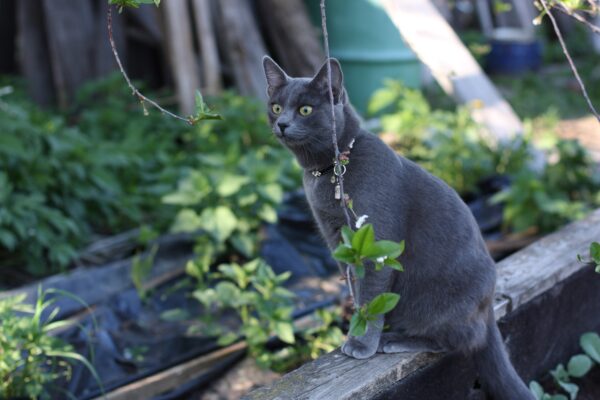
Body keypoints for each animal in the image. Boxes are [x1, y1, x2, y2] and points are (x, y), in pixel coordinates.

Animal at [262, 56, 536, 400]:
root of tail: (488, 310)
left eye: (305, 110)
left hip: (442, 302)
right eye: (275, 107)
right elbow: (357, 291)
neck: (330, 169)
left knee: (458, 340)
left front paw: (360, 342)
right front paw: (356, 329)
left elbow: (370, 295)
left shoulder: (374, 244)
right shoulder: (339, 243)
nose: (282, 124)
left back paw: (395, 339)